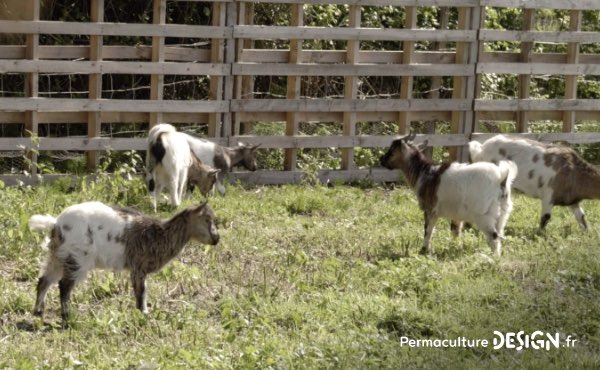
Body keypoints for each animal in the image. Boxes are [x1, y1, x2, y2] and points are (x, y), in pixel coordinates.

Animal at [28, 201, 220, 326]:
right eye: (207, 220)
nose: (217, 238)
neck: (160, 234)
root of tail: (56, 224)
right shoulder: (138, 265)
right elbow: (141, 291)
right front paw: (143, 313)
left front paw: (142, 312)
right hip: (78, 256)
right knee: (64, 285)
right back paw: (68, 317)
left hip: (57, 255)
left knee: (44, 280)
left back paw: (38, 311)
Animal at [382, 134, 516, 258]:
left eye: (392, 150)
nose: (381, 160)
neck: (424, 173)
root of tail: (501, 178)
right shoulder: (457, 215)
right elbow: (455, 231)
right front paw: (455, 247)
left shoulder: (430, 209)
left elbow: (428, 230)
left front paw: (424, 250)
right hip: (503, 214)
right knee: (499, 234)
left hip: (484, 216)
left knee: (494, 237)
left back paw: (493, 258)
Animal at [468, 134, 600, 230]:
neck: (573, 171)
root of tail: (480, 149)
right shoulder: (549, 195)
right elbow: (545, 217)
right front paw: (540, 234)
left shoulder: (572, 200)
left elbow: (581, 216)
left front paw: (587, 231)